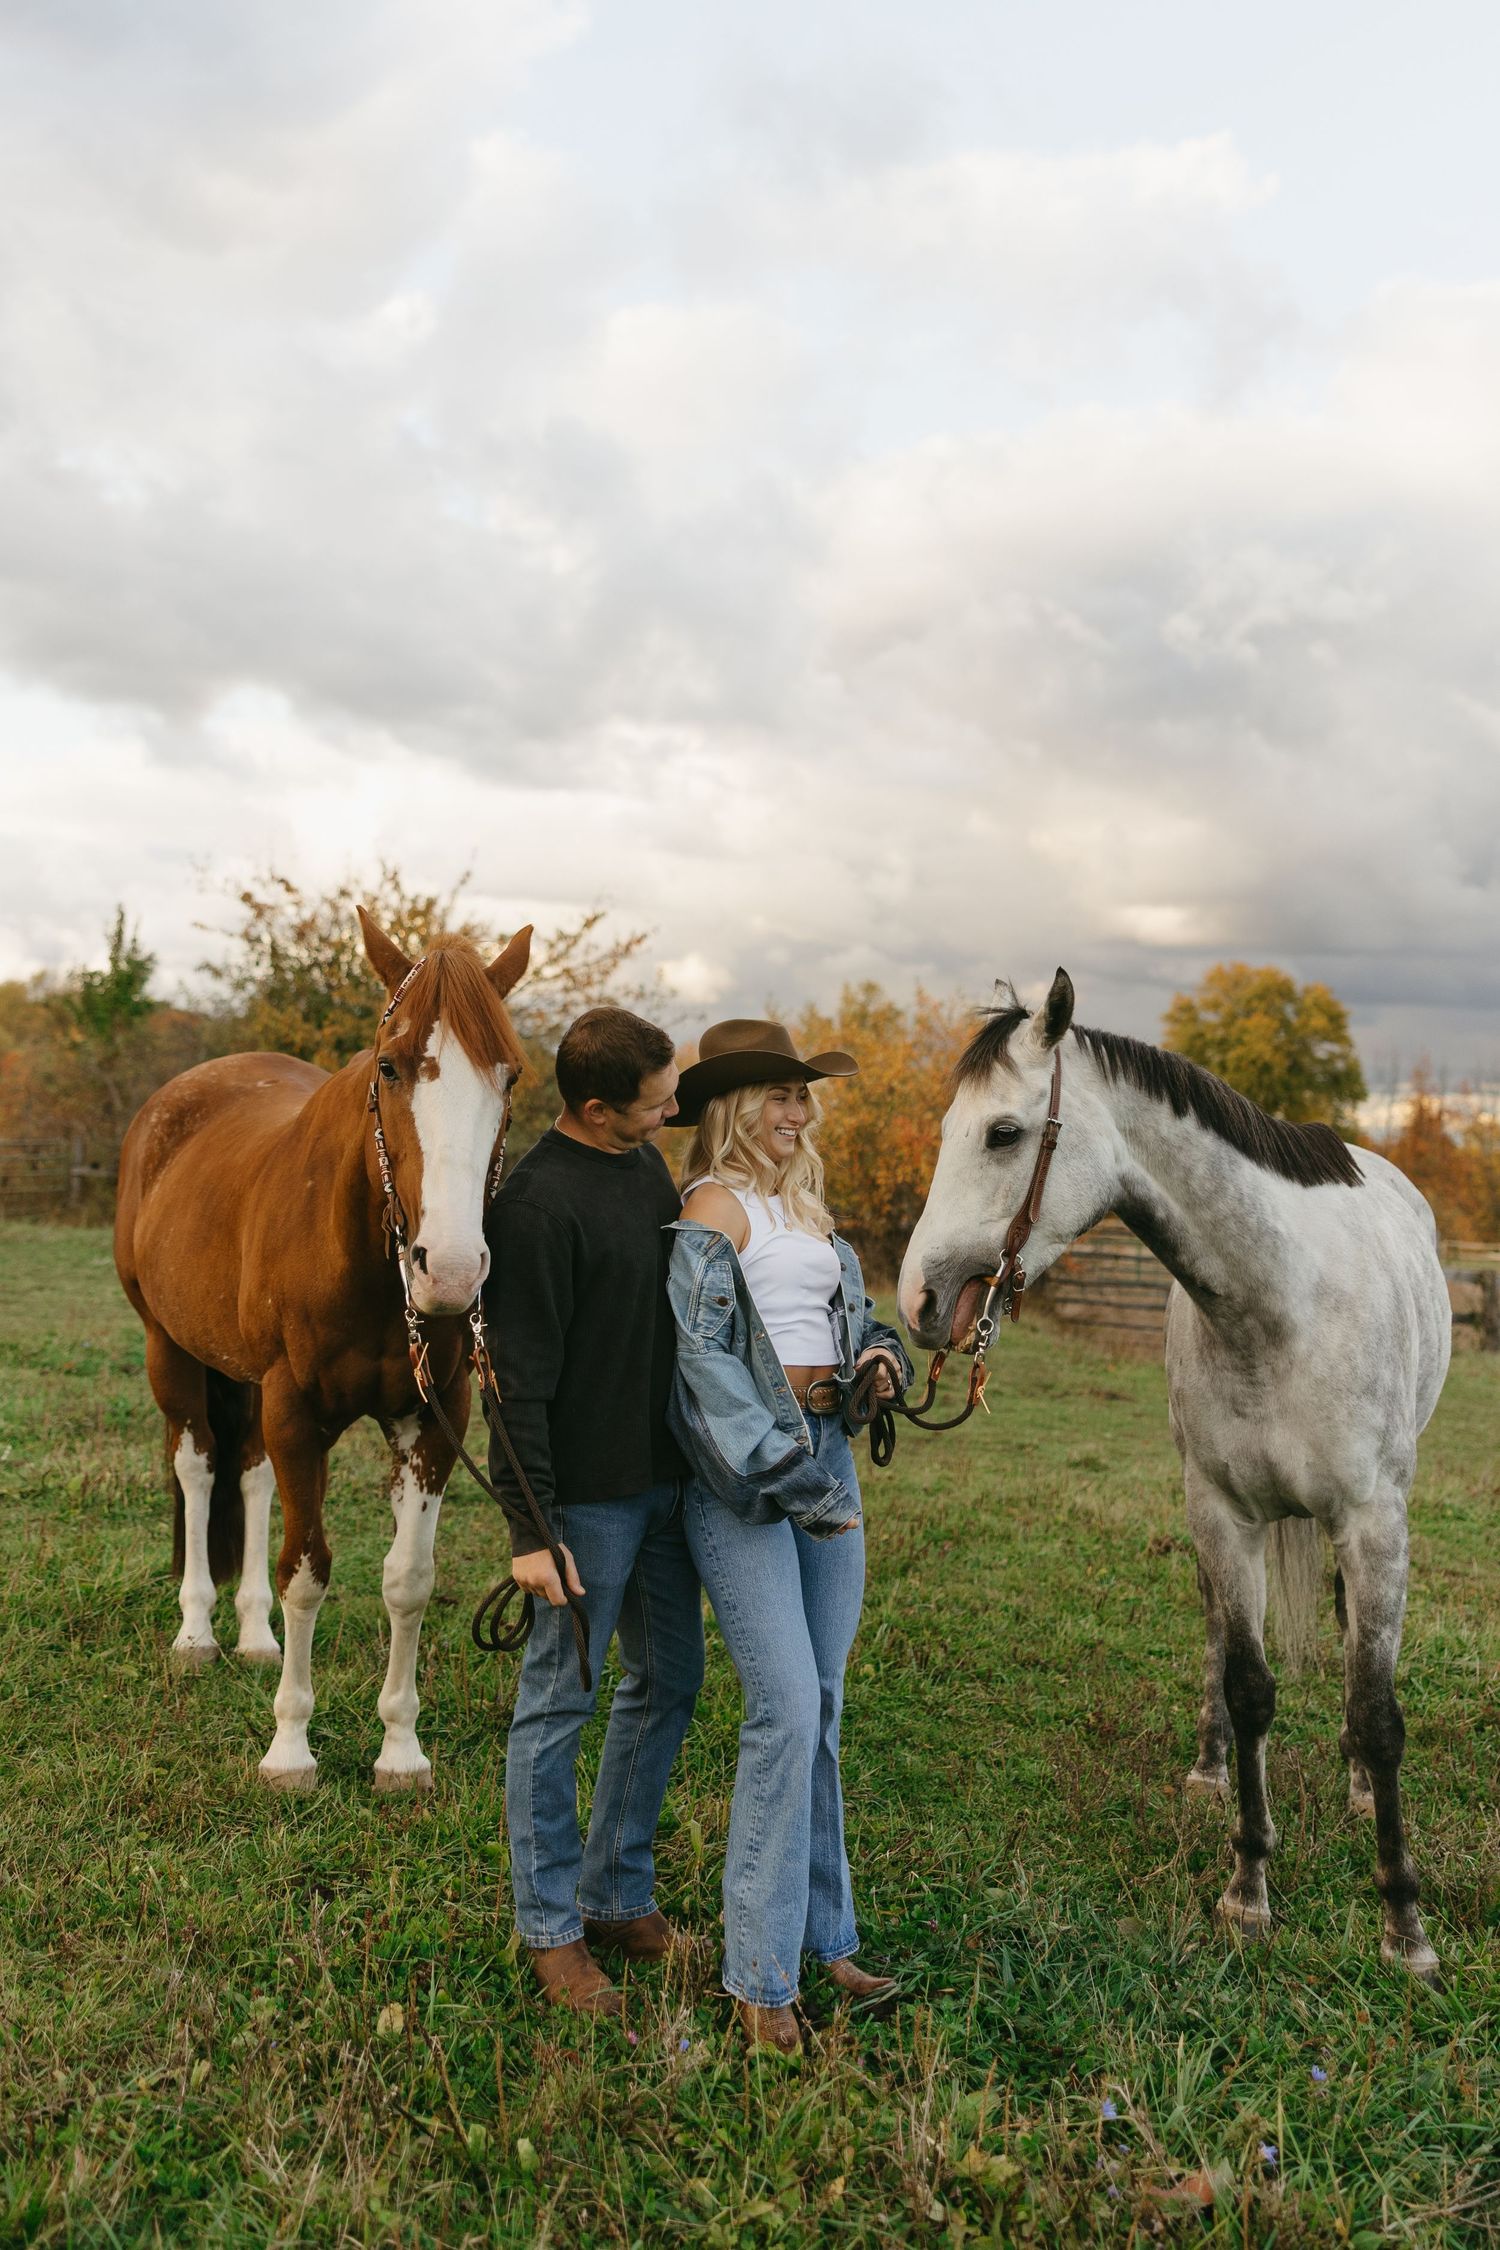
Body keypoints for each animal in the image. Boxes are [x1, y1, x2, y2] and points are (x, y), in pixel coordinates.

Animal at [113, 908, 531, 1791]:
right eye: (390, 1067)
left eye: (509, 1077)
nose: (448, 1270)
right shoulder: (296, 1411)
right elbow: (304, 1573)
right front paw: (289, 1749)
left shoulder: (433, 1419)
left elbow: (408, 1581)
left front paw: (401, 1751)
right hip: (170, 1351)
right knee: (198, 1467)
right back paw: (198, 1633)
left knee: (249, 1474)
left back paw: (252, 1637)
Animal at [897, 970, 1450, 1978]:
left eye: (1002, 1133)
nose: (919, 1298)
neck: (1281, 1304)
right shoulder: (1222, 1513)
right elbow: (1248, 1686)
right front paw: (1249, 1888)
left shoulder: (1374, 1522)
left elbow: (1379, 1711)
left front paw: (1405, 1923)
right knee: (1215, 1640)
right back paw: (1209, 1766)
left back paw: (1356, 1787)